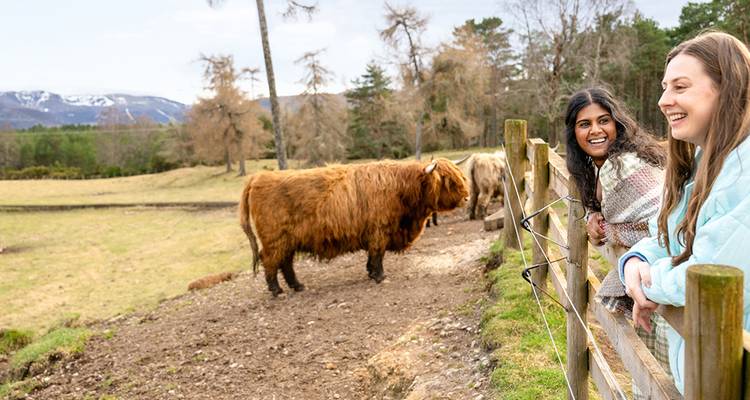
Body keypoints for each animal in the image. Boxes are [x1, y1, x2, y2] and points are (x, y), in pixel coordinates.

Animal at [239, 158, 469, 296]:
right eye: (448, 181)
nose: (467, 197)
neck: (401, 188)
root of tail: (258, 177)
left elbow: (372, 256)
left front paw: (370, 273)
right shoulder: (379, 230)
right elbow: (377, 254)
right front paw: (379, 276)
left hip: (288, 240)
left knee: (285, 263)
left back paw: (297, 286)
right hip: (275, 239)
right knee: (270, 261)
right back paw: (276, 290)